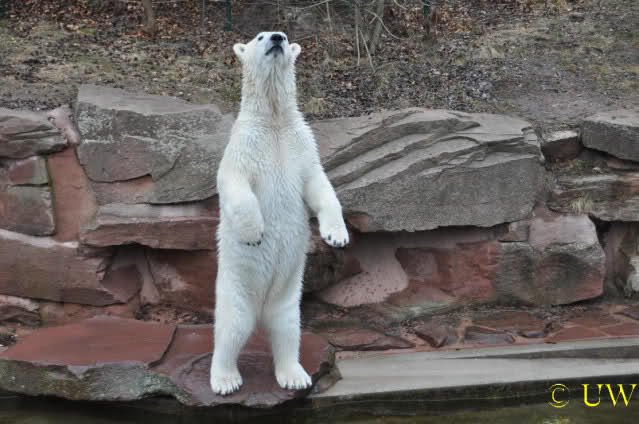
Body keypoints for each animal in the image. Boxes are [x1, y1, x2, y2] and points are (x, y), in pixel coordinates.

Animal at [209, 31, 349, 395]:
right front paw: (254, 233)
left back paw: (295, 375)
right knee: (232, 327)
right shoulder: (245, 146)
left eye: (285, 37)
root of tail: (261, 311)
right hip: (235, 286)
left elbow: (319, 184)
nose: (276, 38)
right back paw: (226, 379)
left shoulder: (302, 146)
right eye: (259, 37)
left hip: (288, 296)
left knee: (287, 329)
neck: (273, 121)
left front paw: (336, 236)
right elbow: (234, 183)